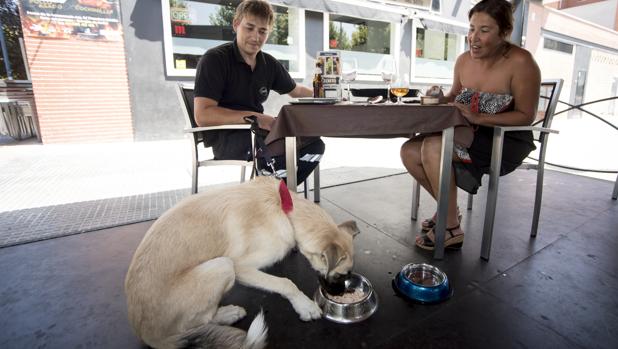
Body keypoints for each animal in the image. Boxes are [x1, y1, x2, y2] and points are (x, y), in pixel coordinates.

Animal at [124, 177, 356, 348]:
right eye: (340, 274)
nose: (341, 294)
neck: (285, 210)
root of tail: (146, 334)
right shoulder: (241, 267)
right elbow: (285, 283)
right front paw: (305, 306)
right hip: (222, 266)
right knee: (199, 321)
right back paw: (227, 314)